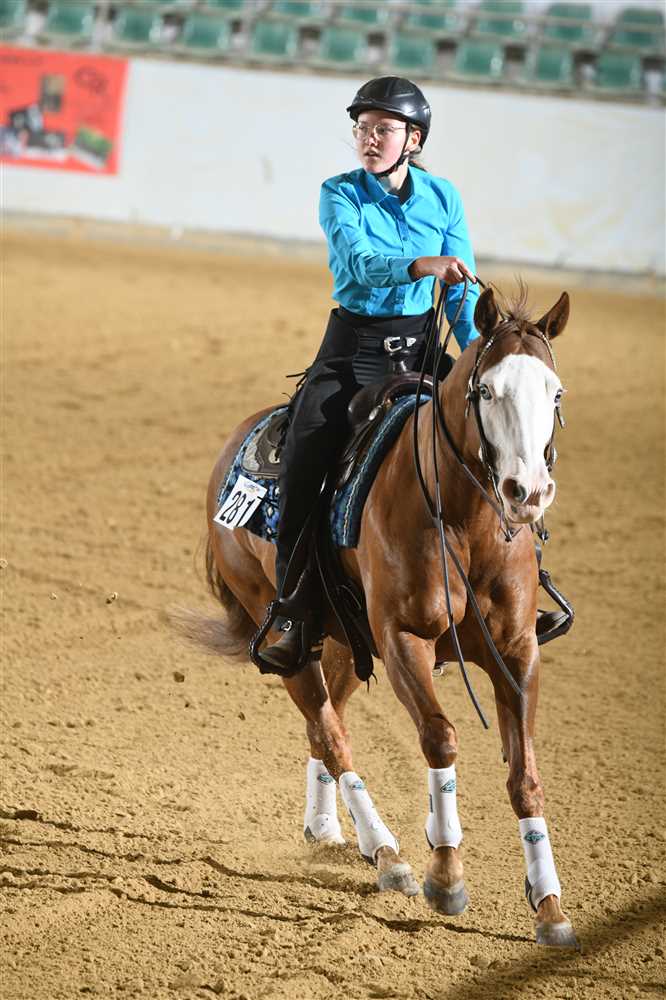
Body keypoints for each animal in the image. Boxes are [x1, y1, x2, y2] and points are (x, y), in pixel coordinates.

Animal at [190, 285, 578, 949]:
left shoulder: (518, 652)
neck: (464, 522)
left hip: (345, 639)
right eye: (486, 390)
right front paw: (445, 873)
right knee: (330, 733)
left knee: (328, 725)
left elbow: (526, 775)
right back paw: (388, 854)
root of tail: (237, 443)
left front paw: (549, 906)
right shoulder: (405, 640)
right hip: (290, 636)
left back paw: (328, 829)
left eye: (554, 393)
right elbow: (440, 738)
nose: (527, 492)